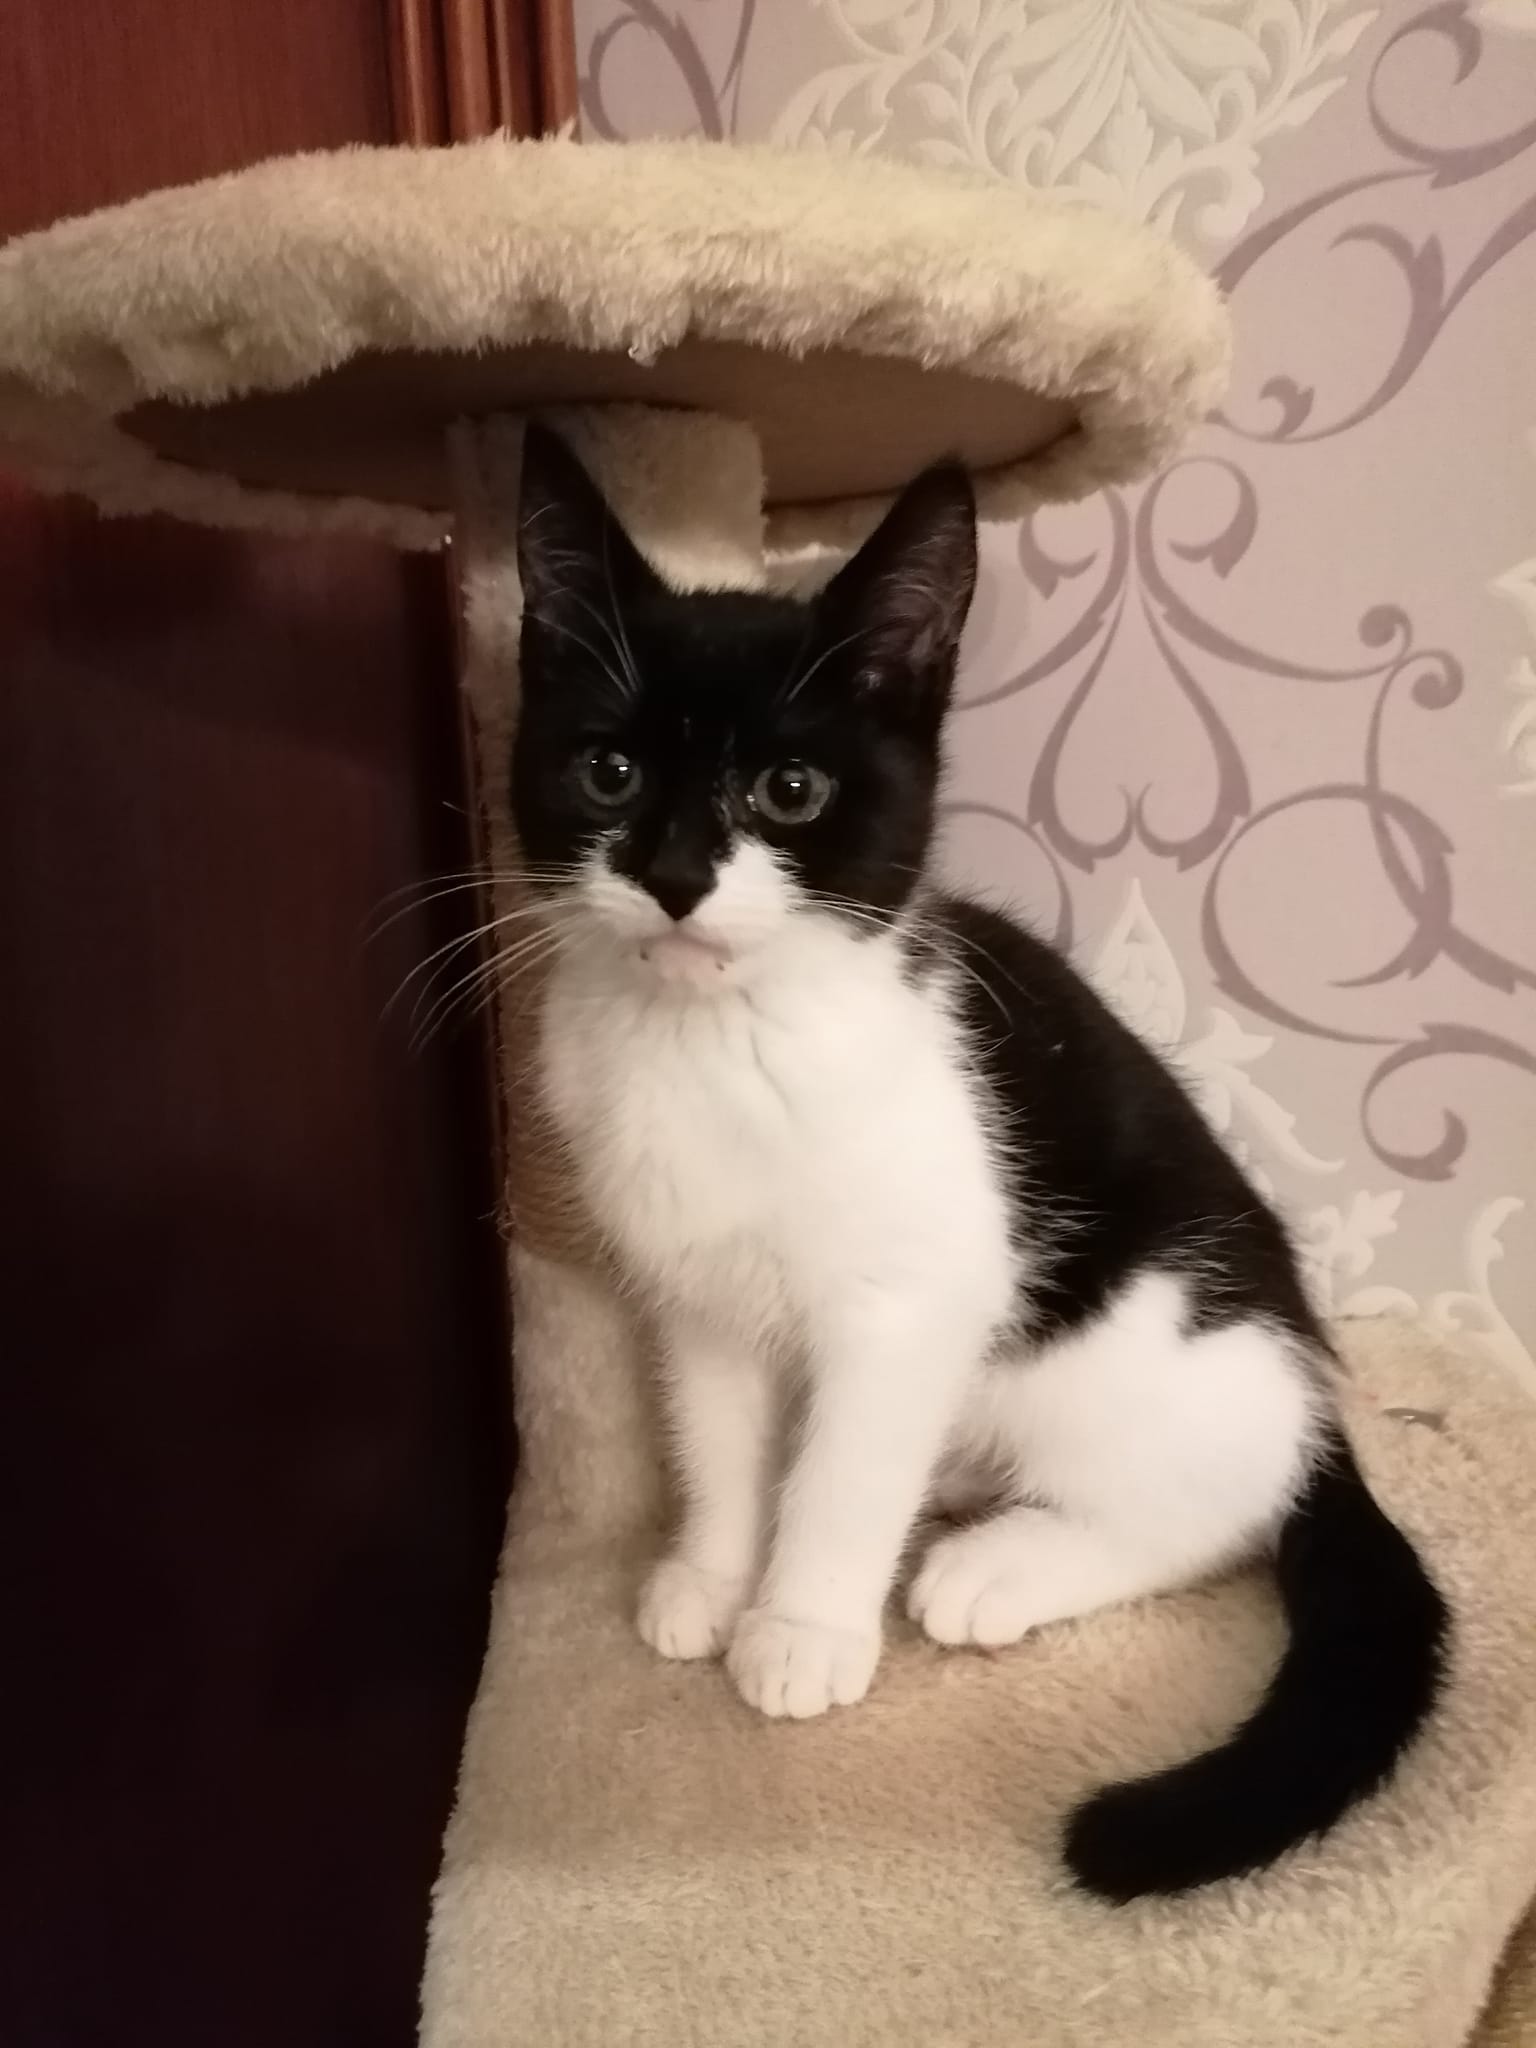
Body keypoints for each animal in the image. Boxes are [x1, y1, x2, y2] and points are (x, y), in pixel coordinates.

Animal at [508, 422, 1447, 1902]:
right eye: (608, 772)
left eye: (790, 789)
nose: (674, 875)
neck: (719, 1043)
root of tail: (1311, 1373)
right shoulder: (699, 1293)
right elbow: (715, 1433)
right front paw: (711, 1577)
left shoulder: (914, 1296)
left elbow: (844, 1472)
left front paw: (801, 1628)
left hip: (1143, 1339)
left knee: (1225, 1497)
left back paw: (992, 1565)